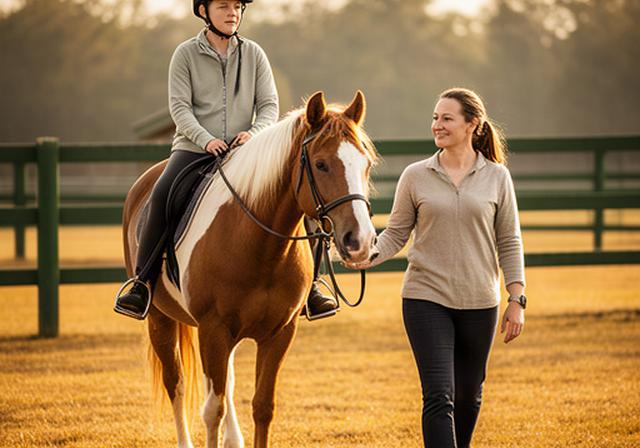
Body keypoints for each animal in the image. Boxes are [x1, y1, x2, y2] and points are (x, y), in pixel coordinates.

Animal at [122, 90, 378, 448]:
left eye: (366, 165)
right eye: (321, 164)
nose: (361, 241)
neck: (259, 248)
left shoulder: (278, 334)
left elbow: (262, 406)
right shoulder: (213, 329)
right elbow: (211, 410)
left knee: (226, 383)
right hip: (161, 319)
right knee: (177, 384)